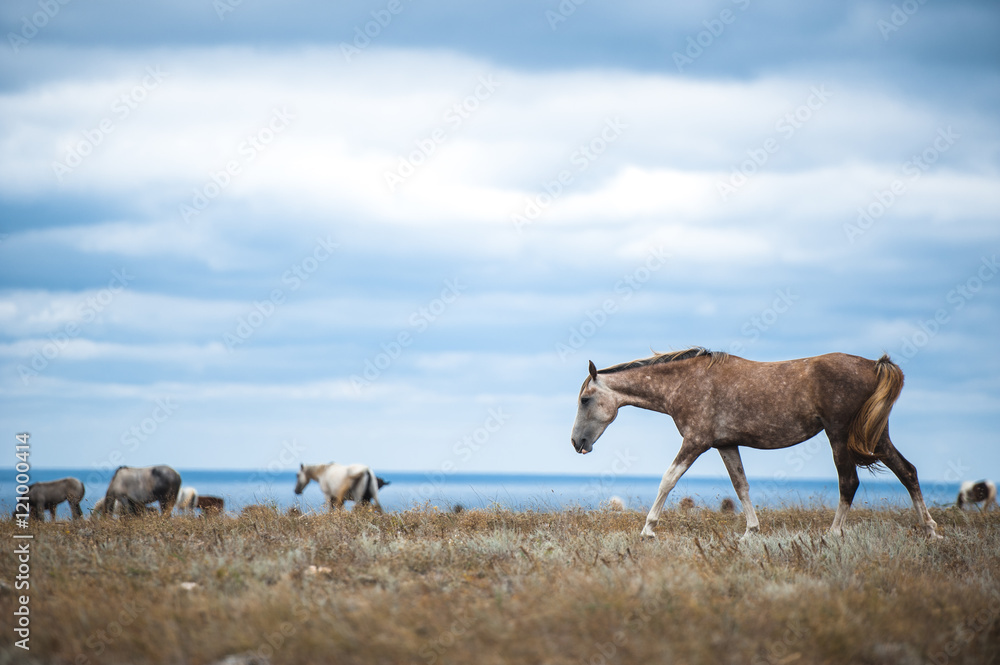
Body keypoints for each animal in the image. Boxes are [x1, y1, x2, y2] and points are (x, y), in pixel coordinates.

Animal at [571, 348, 940, 539]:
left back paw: (833, 534)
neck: (686, 382)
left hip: (838, 436)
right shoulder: (725, 444)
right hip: (877, 437)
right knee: (908, 471)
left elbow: (667, 480)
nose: (576, 442)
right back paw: (931, 528)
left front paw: (648, 529)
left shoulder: (696, 441)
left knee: (849, 482)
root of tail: (875, 366)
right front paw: (751, 531)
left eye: (586, 399)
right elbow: (741, 485)